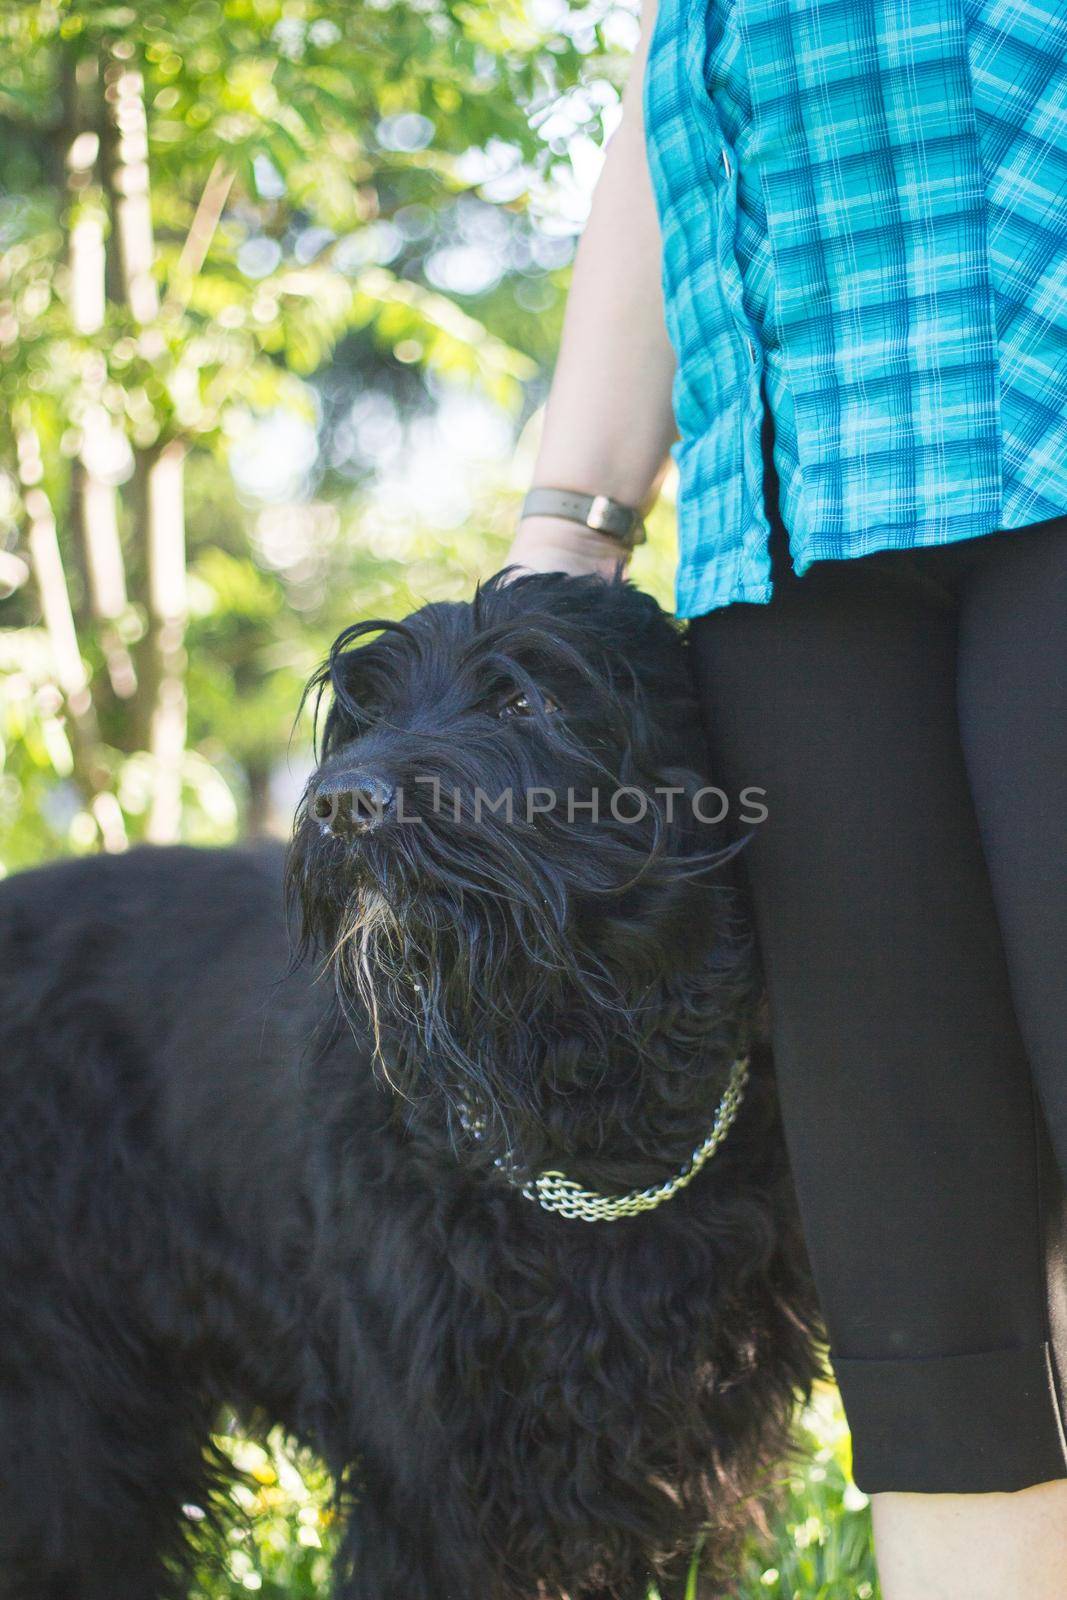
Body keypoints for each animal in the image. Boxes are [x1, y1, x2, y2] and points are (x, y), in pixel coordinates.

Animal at [0, 569, 819, 1593]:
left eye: (523, 699)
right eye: (366, 711)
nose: (340, 804)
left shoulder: (686, 1460)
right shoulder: (442, 1483)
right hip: (65, 1418)